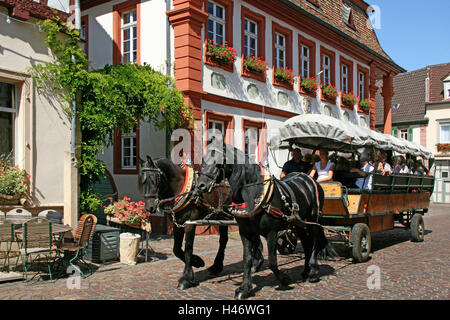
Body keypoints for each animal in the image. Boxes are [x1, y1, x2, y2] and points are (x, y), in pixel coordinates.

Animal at [137, 155, 264, 290]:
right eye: (142, 182)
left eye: (154, 179)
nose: (149, 207)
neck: (182, 188)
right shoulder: (178, 224)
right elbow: (176, 249)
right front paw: (197, 262)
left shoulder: (190, 223)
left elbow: (188, 248)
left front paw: (187, 278)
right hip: (222, 216)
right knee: (226, 240)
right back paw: (224, 266)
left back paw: (255, 261)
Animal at [197, 145, 334, 300]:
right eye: (203, 161)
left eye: (218, 162)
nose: (200, 185)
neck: (254, 194)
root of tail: (309, 179)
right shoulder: (245, 232)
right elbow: (247, 260)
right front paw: (245, 289)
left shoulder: (271, 232)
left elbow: (273, 262)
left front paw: (284, 279)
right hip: (298, 223)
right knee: (306, 244)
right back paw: (305, 271)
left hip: (313, 219)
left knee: (315, 242)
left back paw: (313, 272)